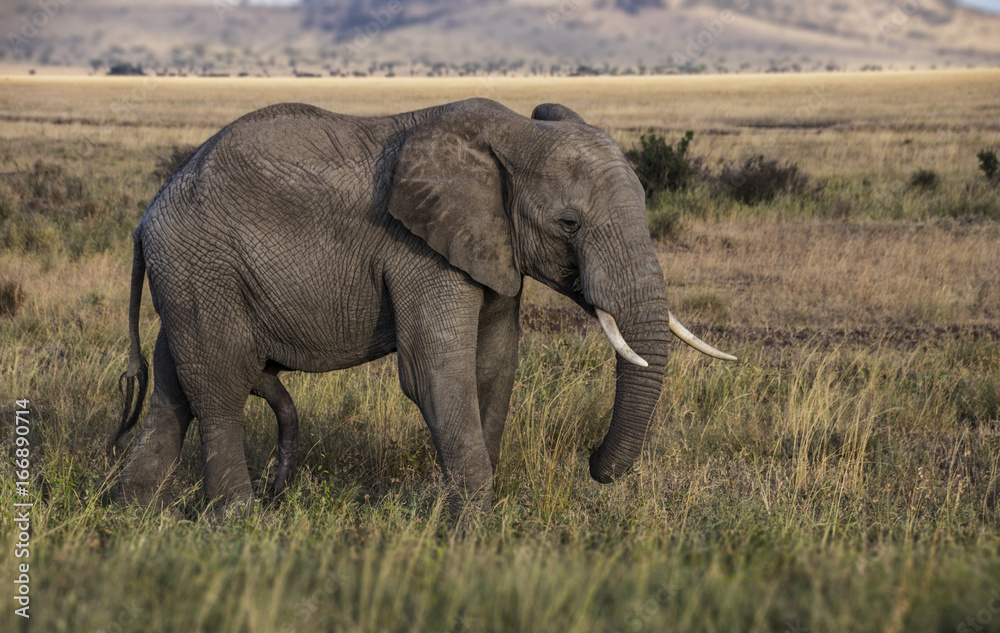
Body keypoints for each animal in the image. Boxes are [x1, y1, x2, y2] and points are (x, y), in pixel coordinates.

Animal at [111, 97, 735, 518]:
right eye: (569, 224)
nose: (591, 460)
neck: (512, 134)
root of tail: (147, 217)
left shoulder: (491, 248)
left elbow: (493, 365)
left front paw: (472, 514)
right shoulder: (419, 251)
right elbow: (434, 369)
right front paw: (470, 531)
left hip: (191, 278)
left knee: (175, 386)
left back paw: (136, 514)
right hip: (200, 265)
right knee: (219, 380)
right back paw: (238, 521)